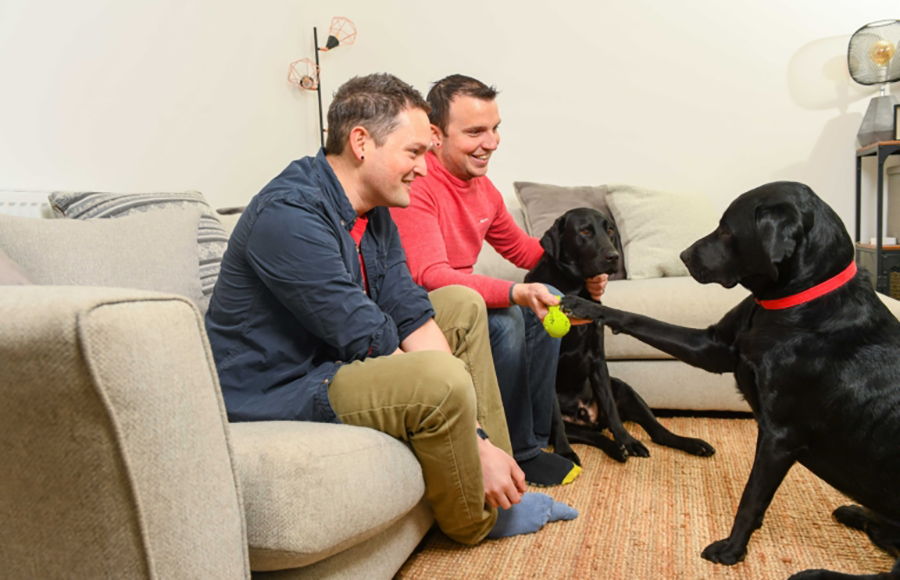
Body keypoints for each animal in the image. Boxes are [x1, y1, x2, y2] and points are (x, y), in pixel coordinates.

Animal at [524, 208, 712, 462]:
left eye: (610, 230)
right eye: (585, 231)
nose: (614, 257)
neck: (574, 287)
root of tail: (588, 416)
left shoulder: (597, 360)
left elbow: (611, 408)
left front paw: (627, 440)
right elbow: (555, 419)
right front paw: (565, 453)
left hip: (625, 390)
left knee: (657, 432)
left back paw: (688, 444)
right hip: (577, 426)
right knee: (595, 435)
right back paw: (615, 449)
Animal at [564, 182, 900, 580]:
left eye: (726, 229)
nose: (683, 255)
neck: (794, 303)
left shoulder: (779, 437)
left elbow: (752, 497)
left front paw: (731, 549)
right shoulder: (712, 347)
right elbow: (639, 319)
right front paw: (586, 306)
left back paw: (815, 571)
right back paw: (856, 513)